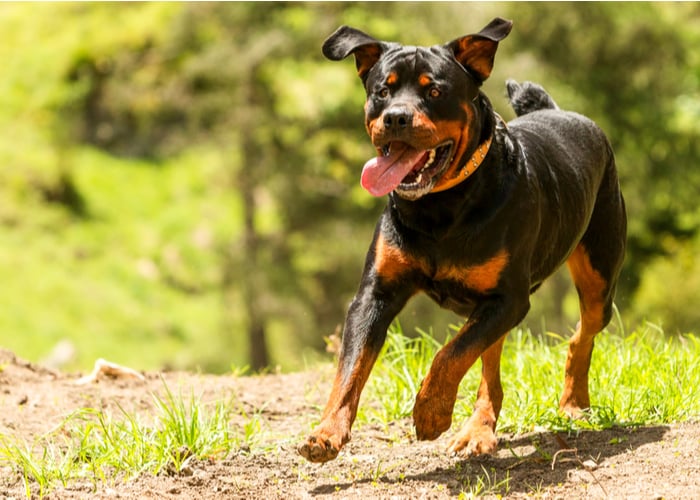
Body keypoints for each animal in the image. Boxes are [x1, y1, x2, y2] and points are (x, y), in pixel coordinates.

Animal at [298, 19, 628, 464]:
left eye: (434, 91)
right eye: (382, 91)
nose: (396, 118)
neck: (440, 206)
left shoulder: (507, 298)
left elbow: (450, 354)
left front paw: (431, 412)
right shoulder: (375, 294)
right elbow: (351, 368)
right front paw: (327, 432)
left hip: (598, 275)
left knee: (581, 335)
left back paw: (573, 403)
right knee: (491, 364)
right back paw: (479, 430)